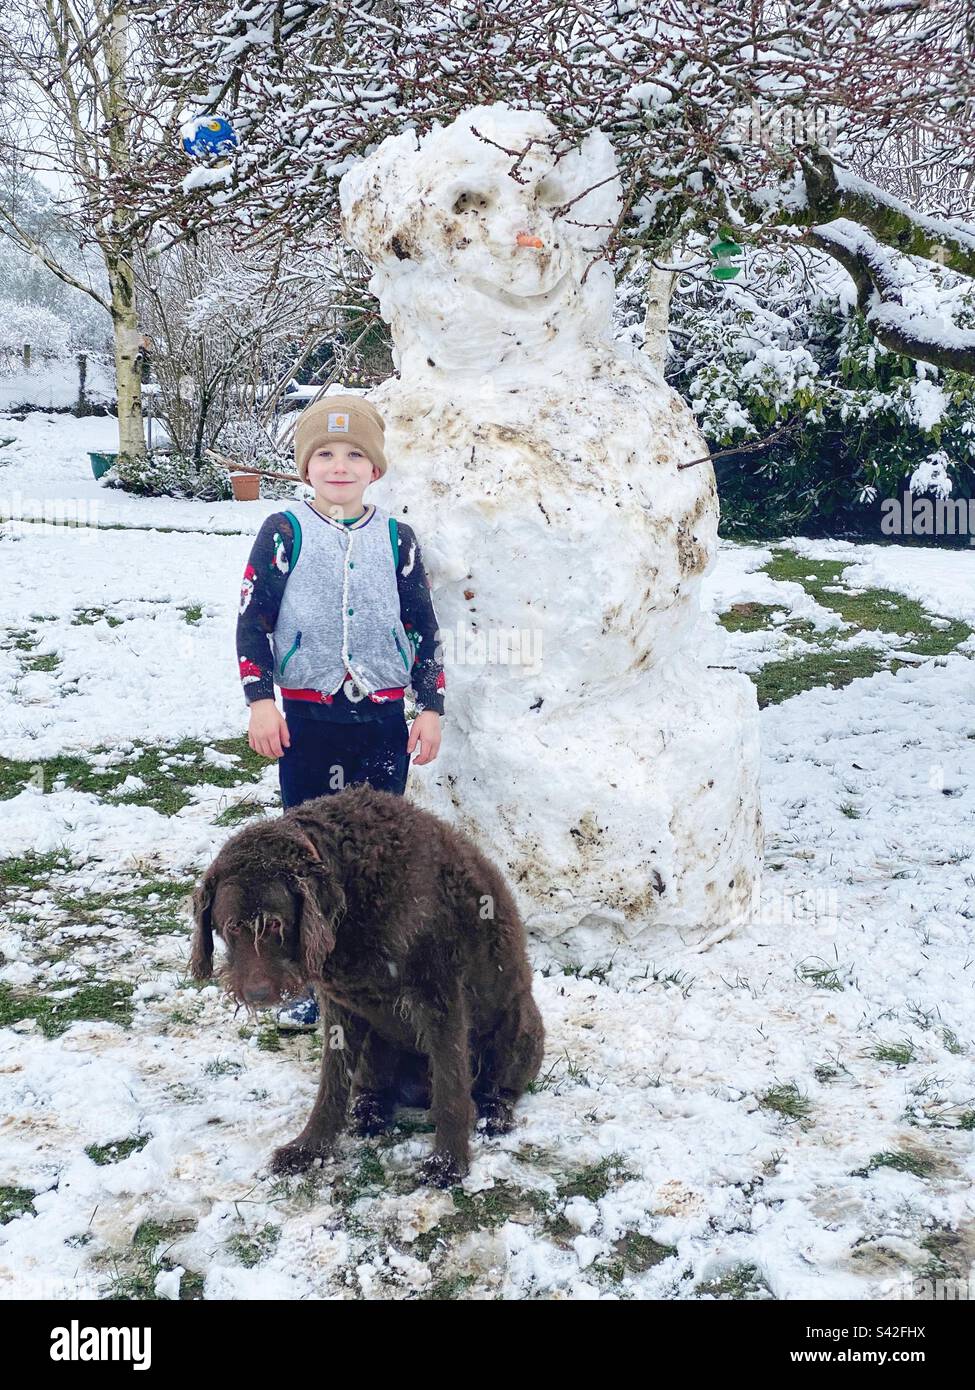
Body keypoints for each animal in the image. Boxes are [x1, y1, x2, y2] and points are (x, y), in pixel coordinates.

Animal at [186, 783, 545, 1184]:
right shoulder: (339, 1006)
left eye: (275, 923)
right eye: (232, 926)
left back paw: (494, 1114)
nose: (258, 994)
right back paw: (369, 1112)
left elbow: (452, 1087)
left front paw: (448, 1163)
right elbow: (332, 1084)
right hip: (376, 1046)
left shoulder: (439, 995)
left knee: (497, 1088)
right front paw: (310, 1149)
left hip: (519, 1022)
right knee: (373, 1088)